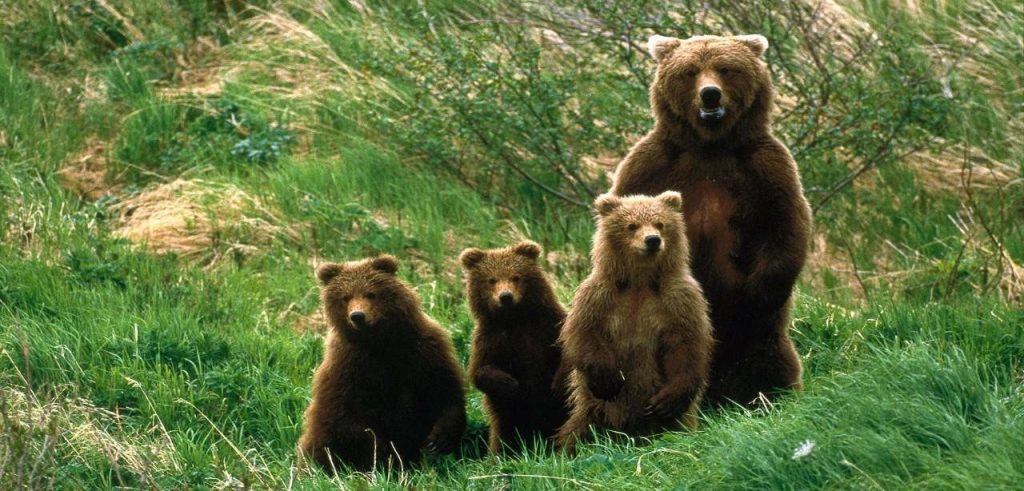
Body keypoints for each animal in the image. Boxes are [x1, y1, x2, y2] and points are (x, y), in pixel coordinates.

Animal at [296, 255, 468, 475]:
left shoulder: (423, 349)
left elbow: (444, 389)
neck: (379, 341)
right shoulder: (347, 365)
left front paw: (439, 439)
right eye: (346, 297)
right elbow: (343, 413)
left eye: (370, 293)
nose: (357, 316)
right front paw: (384, 452)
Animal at [462, 239, 573, 455]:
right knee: (504, 435)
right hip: (507, 420)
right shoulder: (491, 339)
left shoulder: (548, 326)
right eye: (492, 280)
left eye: (516, 276)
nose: (505, 296)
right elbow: (480, 371)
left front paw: (557, 383)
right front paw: (511, 385)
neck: (515, 319)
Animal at [552, 192, 712, 453]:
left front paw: (666, 400)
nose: (652, 240)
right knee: (579, 430)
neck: (640, 281)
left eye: (660, 223)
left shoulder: (679, 300)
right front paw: (609, 379)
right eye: (632, 225)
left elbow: (686, 343)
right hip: (594, 410)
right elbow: (584, 333)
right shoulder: (600, 296)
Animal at [610, 33, 811, 407]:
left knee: (767, 361)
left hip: (757, 341)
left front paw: (756, 295)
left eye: (725, 68)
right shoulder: (651, 165)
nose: (710, 94)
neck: (710, 145)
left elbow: (784, 224)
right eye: (690, 71)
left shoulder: (764, 168)